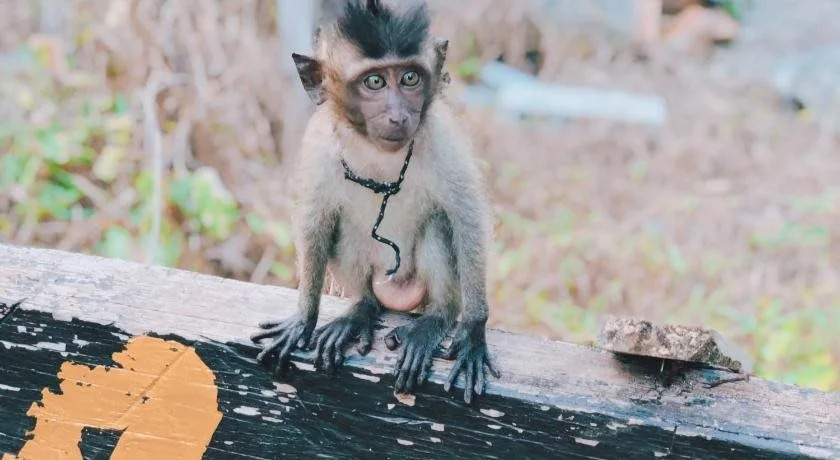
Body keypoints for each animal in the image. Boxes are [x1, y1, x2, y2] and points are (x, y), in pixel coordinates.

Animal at [251, 0, 499, 403]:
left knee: (437, 225)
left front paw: (474, 331)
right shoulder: (319, 144)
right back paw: (360, 310)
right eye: (375, 82)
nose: (398, 115)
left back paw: (436, 318)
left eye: (410, 78)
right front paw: (303, 318)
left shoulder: (442, 138)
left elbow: (468, 218)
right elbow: (315, 221)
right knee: (347, 230)